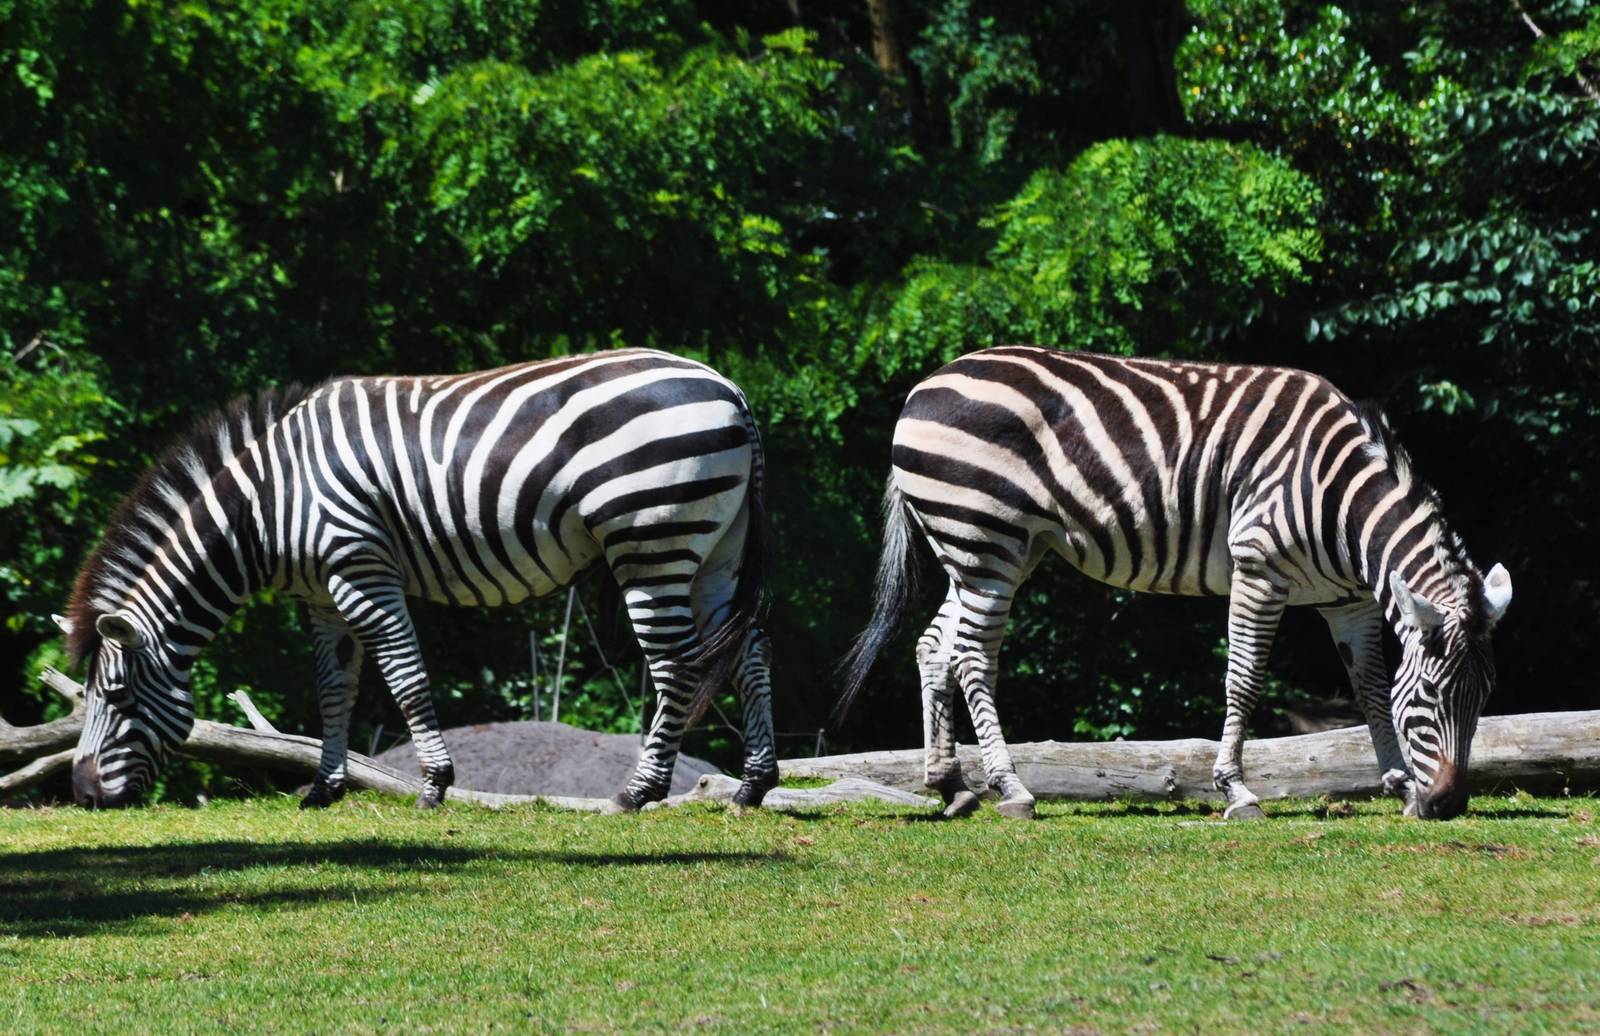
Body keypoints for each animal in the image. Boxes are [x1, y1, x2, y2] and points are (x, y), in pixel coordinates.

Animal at [56, 349, 778, 812]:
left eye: (115, 698)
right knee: (749, 654)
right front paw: (324, 788)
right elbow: (334, 689)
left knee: (678, 665)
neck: (265, 507)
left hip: (650, 542)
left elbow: (403, 677)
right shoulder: (321, 597)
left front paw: (434, 783)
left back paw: (639, 791)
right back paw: (754, 785)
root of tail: (731, 389)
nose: (83, 795)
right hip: (717, 549)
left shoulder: (360, 569)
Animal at [840, 346, 1512, 821]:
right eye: (1433, 696)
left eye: (1484, 698)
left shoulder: (1350, 603)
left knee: (935, 646)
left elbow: (1371, 689)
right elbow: (1244, 680)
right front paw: (1237, 791)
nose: (1449, 806)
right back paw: (1012, 788)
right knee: (974, 656)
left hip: (986, 552)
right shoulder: (1258, 567)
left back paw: (950, 785)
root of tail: (923, 386)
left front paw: (1399, 785)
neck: (1340, 499)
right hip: (986, 542)